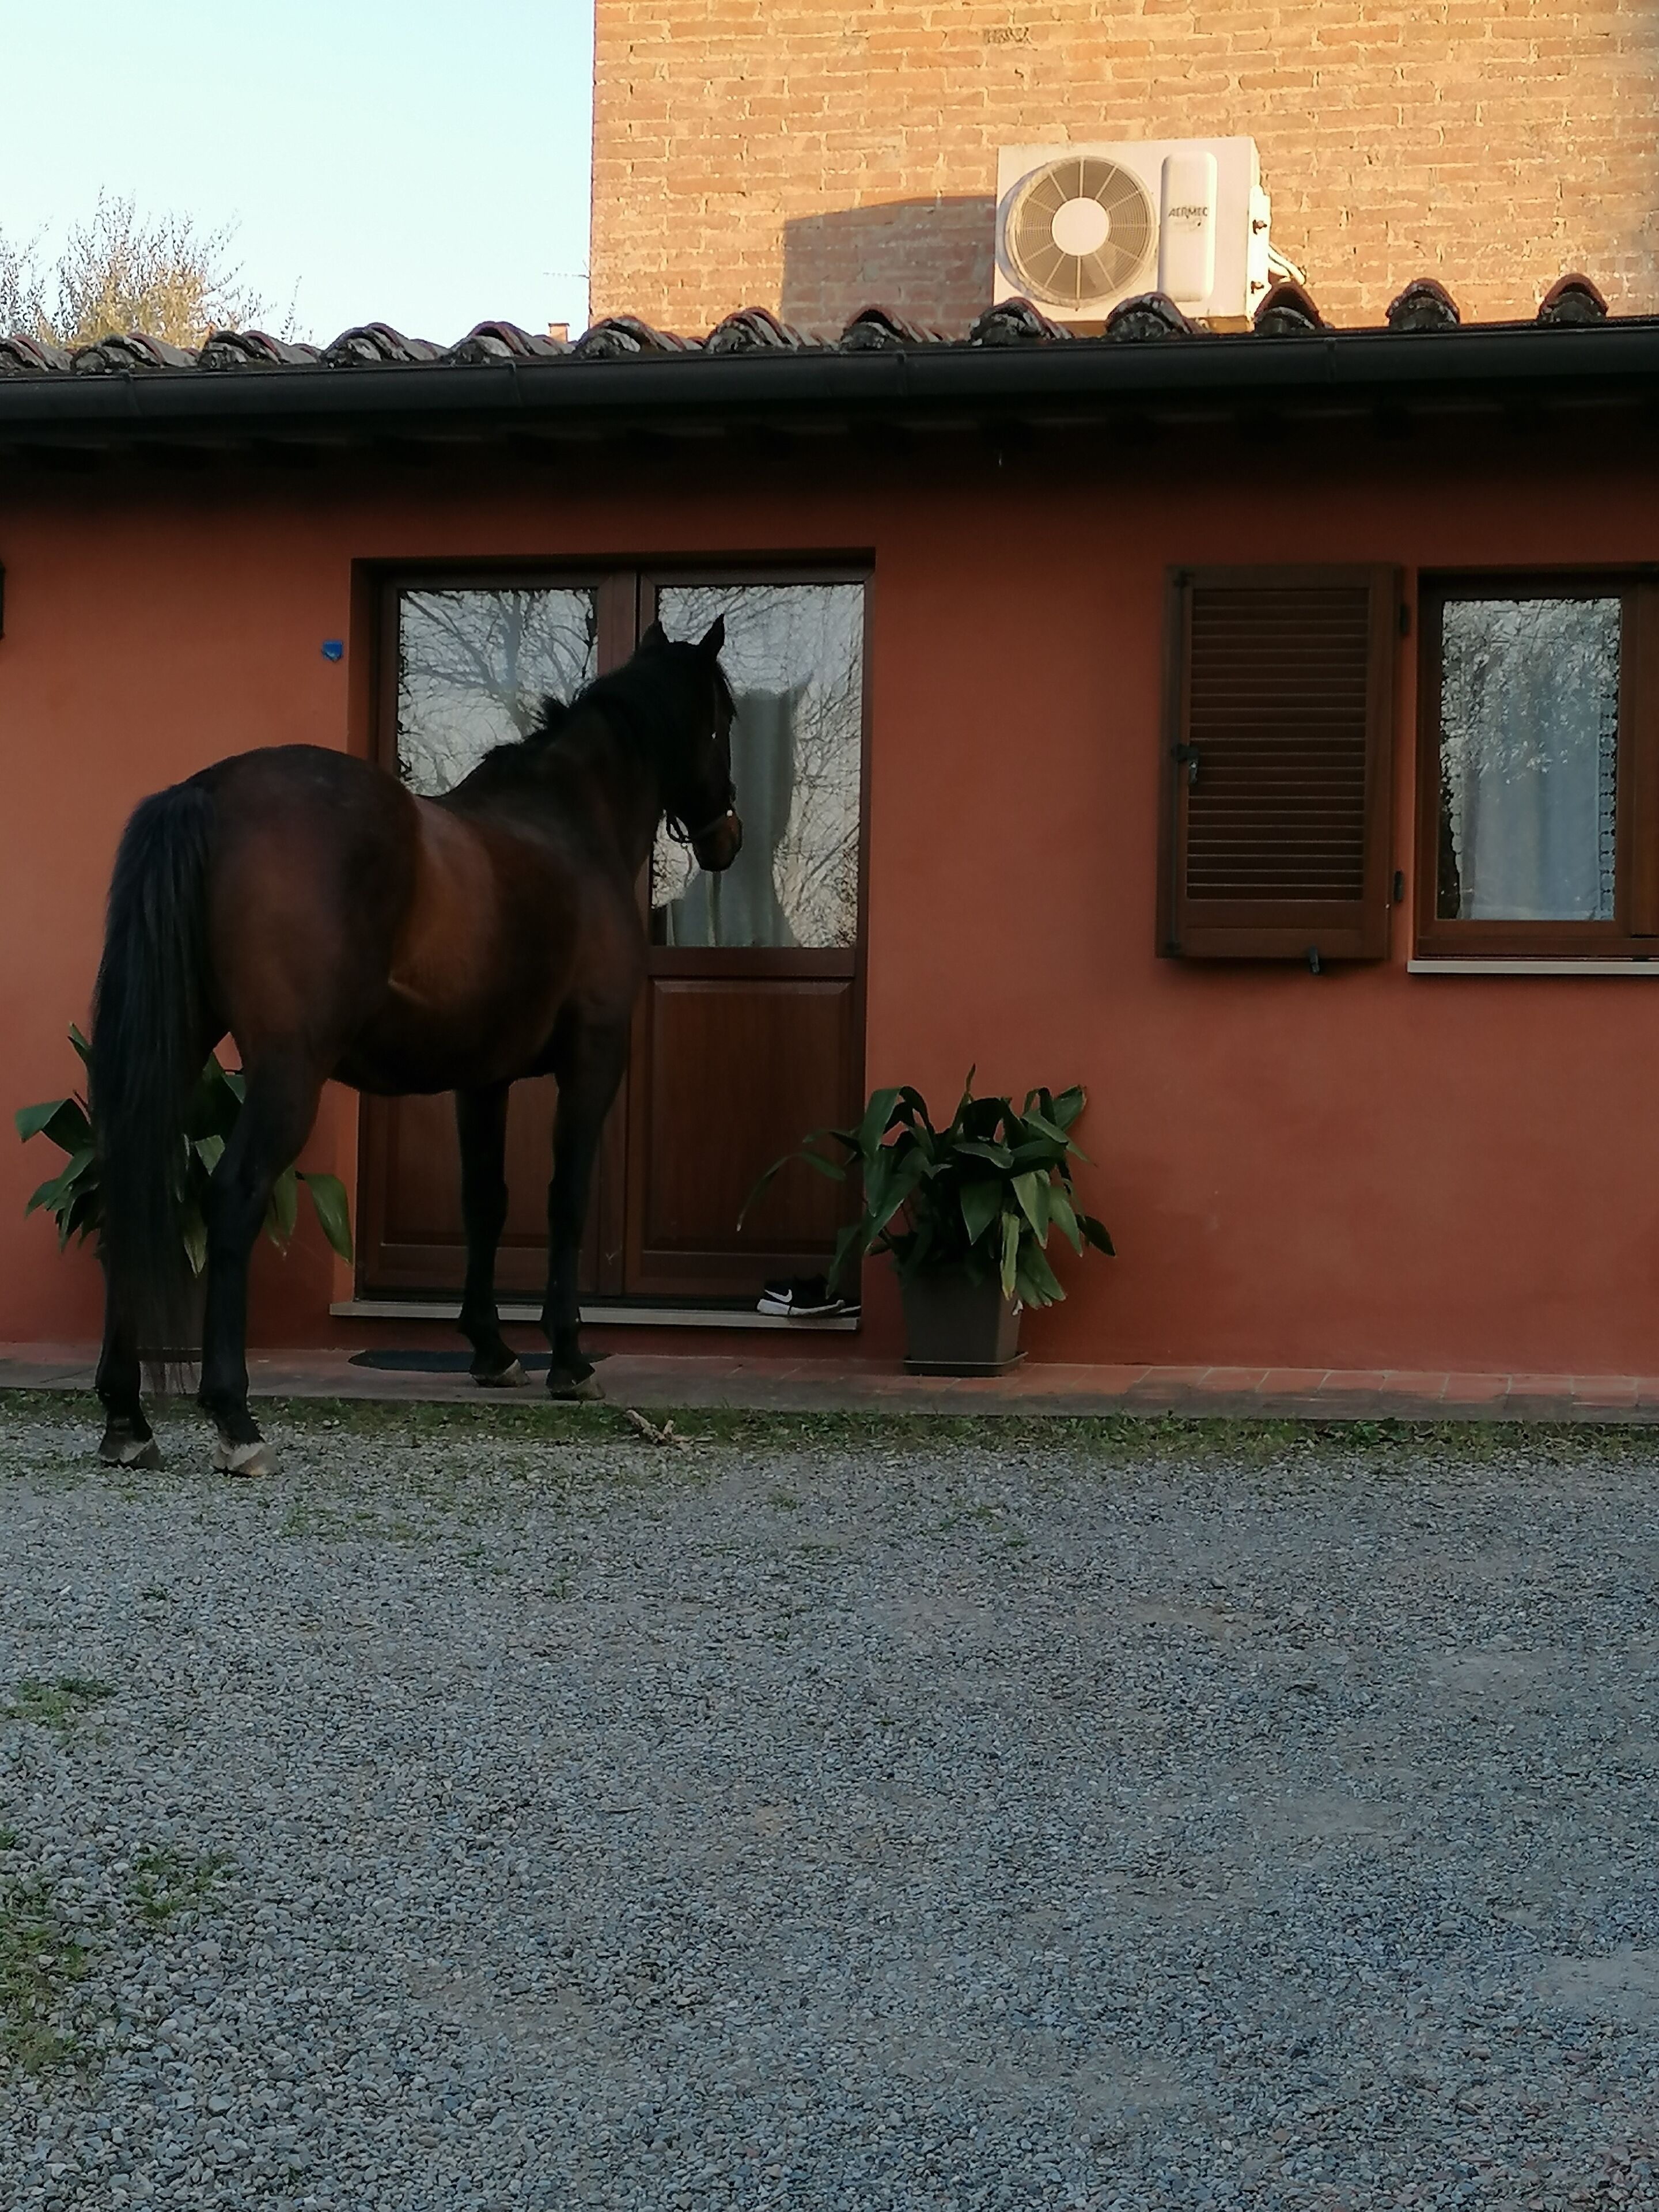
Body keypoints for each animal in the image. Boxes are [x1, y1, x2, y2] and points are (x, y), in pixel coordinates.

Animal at [89, 617, 741, 1476]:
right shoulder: (594, 1060)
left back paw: (126, 1416)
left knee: (128, 1189)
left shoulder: (484, 1079)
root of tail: (208, 792)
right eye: (726, 720)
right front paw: (569, 1358)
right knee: (232, 1196)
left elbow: (485, 1202)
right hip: (288, 1071)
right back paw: (236, 1419)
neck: (570, 825)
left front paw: (492, 1350)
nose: (729, 837)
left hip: (179, 1057)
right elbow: (565, 1199)